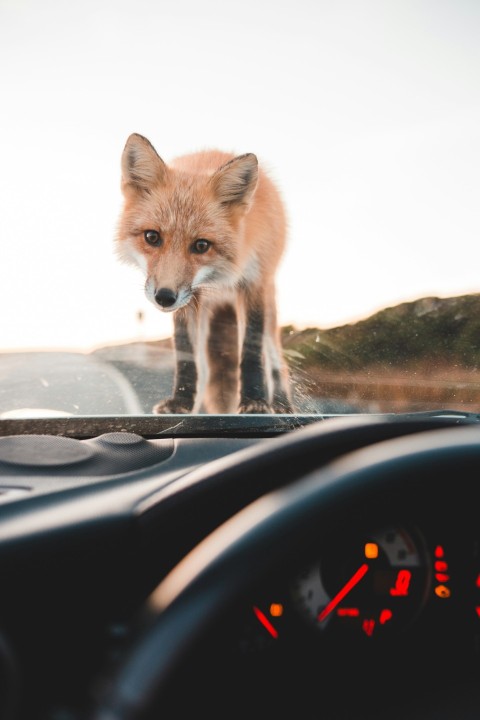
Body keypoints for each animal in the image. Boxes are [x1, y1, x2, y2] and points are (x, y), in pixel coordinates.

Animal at [115, 132, 292, 414]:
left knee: (276, 358)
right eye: (152, 237)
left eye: (201, 245)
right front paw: (181, 401)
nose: (164, 297)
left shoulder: (254, 282)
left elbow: (251, 350)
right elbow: (186, 354)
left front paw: (254, 400)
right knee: (206, 370)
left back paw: (282, 403)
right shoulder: (190, 298)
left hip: (269, 303)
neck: (220, 278)